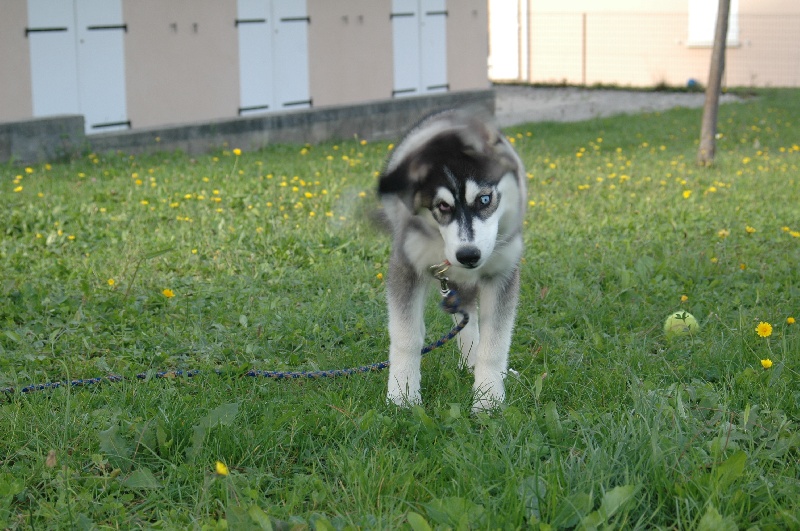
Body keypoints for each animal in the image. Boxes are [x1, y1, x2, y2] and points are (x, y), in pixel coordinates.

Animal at [380, 110, 528, 414]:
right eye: (442, 206)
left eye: (485, 199)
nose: (468, 255)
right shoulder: (406, 266)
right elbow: (406, 335)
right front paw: (403, 394)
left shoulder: (502, 272)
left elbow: (496, 341)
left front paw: (488, 398)